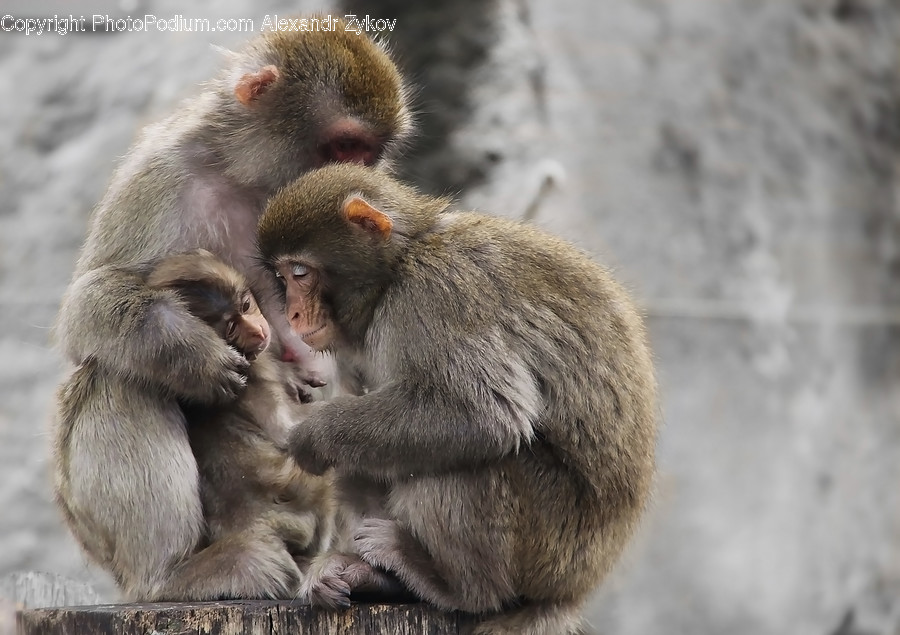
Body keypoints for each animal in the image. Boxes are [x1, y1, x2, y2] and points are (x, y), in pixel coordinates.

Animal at [52, 20, 411, 601]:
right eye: (343, 145)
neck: (251, 182)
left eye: (369, 152)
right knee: (117, 376)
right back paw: (175, 574)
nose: (355, 181)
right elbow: (90, 301)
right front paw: (186, 351)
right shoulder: (165, 172)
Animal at [256, 163, 658, 635]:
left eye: (300, 272)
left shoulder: (437, 291)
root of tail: (572, 591)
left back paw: (459, 588)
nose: (293, 314)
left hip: (552, 546)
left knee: (467, 461)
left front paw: (312, 433)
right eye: (283, 278)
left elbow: (482, 415)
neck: (398, 268)